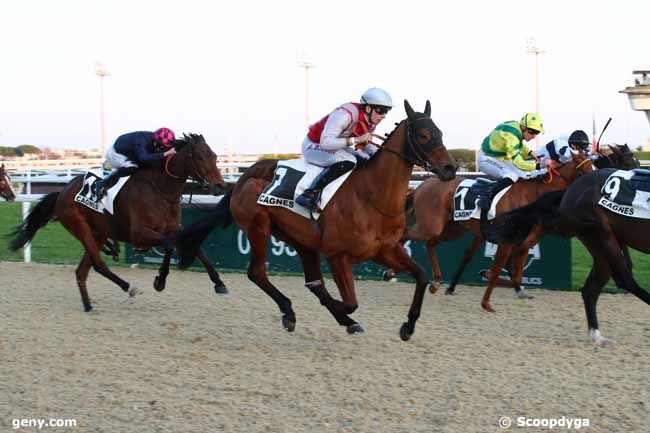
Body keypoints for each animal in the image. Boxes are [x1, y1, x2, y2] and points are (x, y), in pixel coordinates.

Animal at [6, 132, 225, 310]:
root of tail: (61, 192)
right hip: (81, 228)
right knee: (98, 265)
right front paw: (160, 281)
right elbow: (170, 245)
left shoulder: (174, 228)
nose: (220, 186)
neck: (160, 190)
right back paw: (128, 286)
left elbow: (194, 247)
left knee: (82, 271)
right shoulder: (139, 235)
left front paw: (219, 283)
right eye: (200, 157)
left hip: (99, 233)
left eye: (214, 156)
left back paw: (88, 306)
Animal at [175, 99, 454, 340]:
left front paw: (408, 326)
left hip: (300, 240)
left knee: (312, 282)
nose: (449, 169)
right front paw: (342, 313)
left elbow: (421, 276)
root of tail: (243, 178)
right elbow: (349, 302)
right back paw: (290, 311)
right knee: (258, 273)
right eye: (423, 135)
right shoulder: (338, 255)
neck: (372, 197)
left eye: (440, 133)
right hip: (258, 228)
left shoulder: (385, 250)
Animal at [384, 150, 592, 308]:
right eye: (583, 172)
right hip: (431, 225)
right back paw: (392, 272)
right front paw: (486, 280)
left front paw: (513, 288)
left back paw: (434, 281)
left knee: (430, 243)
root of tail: (421, 186)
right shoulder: (506, 241)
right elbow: (502, 271)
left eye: (593, 167)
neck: (531, 196)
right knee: (405, 235)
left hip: (453, 229)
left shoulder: (522, 242)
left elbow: (516, 276)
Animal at [484, 169, 648, 344]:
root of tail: (569, 191)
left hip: (600, 244)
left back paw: (597, 336)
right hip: (603, 235)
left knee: (591, 289)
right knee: (624, 280)